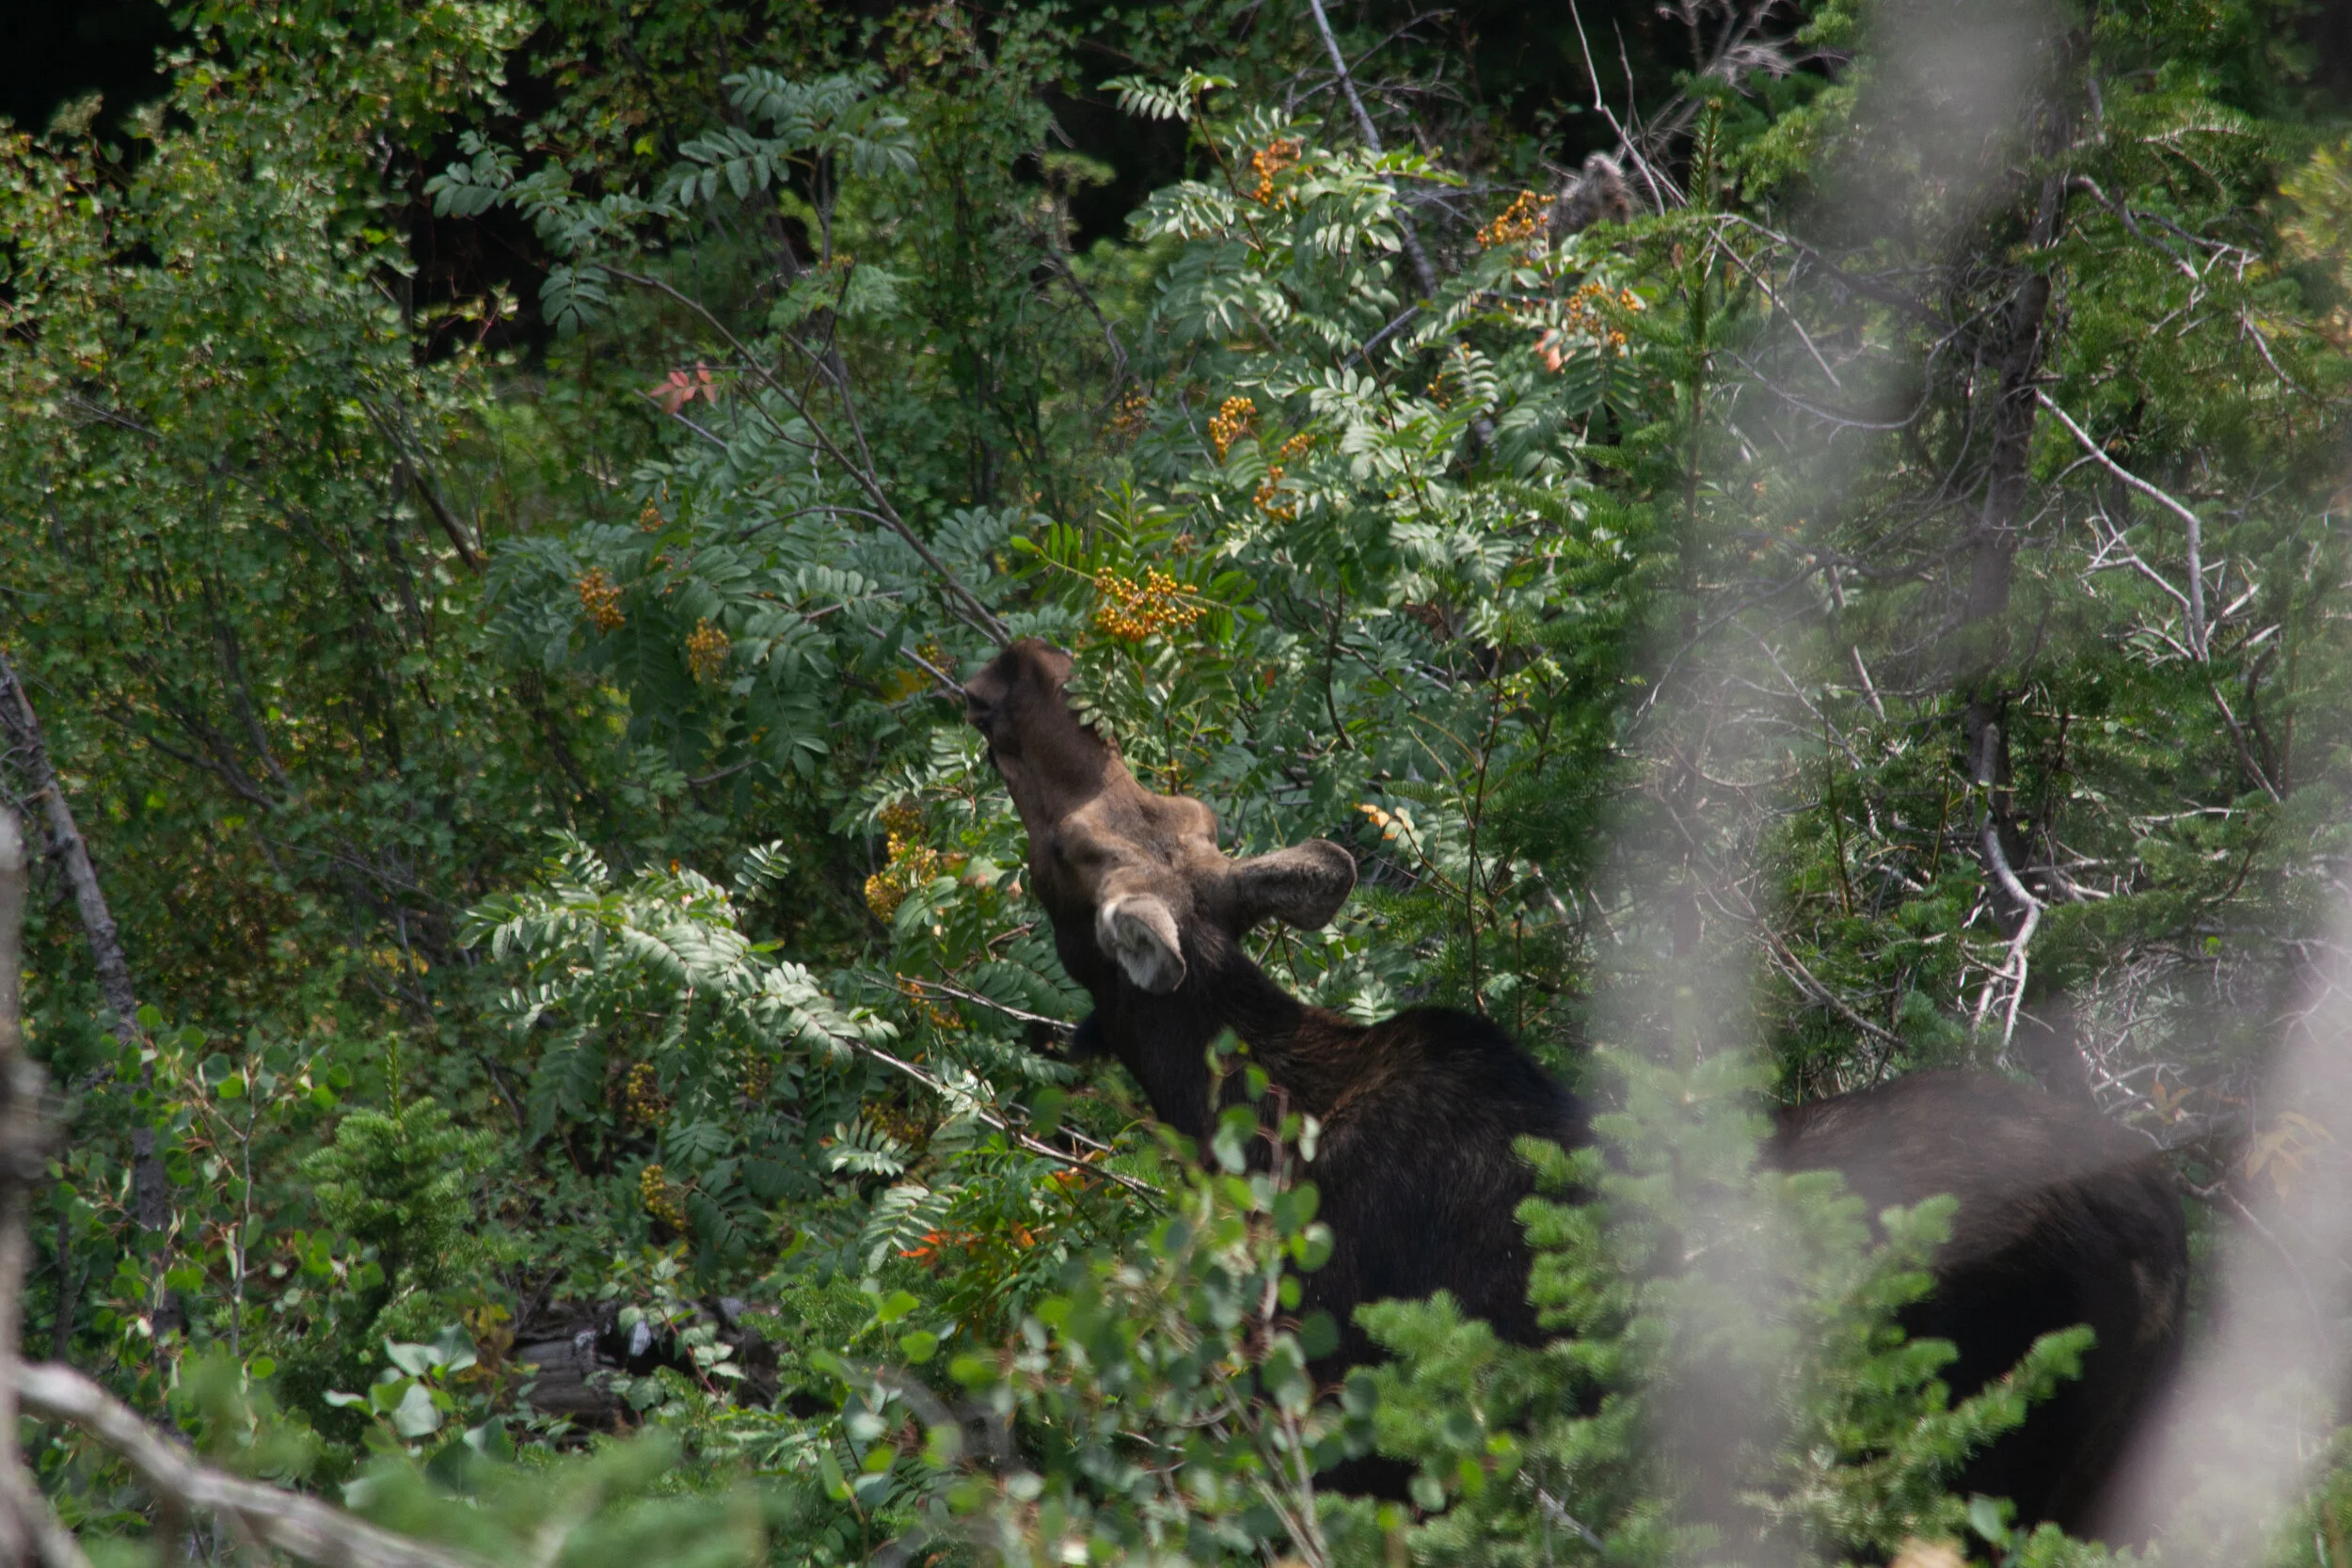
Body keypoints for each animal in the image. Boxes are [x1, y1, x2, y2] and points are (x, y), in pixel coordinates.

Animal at [964, 638, 2185, 1533]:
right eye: (1178, 812)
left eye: (1068, 849)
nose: (1019, 669)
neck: (1257, 1133)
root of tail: (2159, 1231)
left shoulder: (1358, 1441)